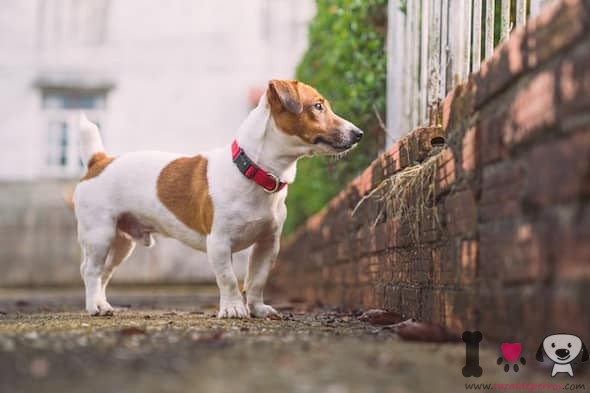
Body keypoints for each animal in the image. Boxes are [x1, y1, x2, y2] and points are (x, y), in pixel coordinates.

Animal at [71, 79, 364, 318]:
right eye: (318, 106)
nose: (359, 133)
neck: (253, 171)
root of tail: (100, 161)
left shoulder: (268, 243)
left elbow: (257, 279)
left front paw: (257, 308)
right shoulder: (220, 243)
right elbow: (229, 279)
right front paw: (233, 308)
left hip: (122, 243)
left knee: (104, 272)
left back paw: (102, 303)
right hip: (99, 235)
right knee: (90, 270)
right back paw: (94, 306)